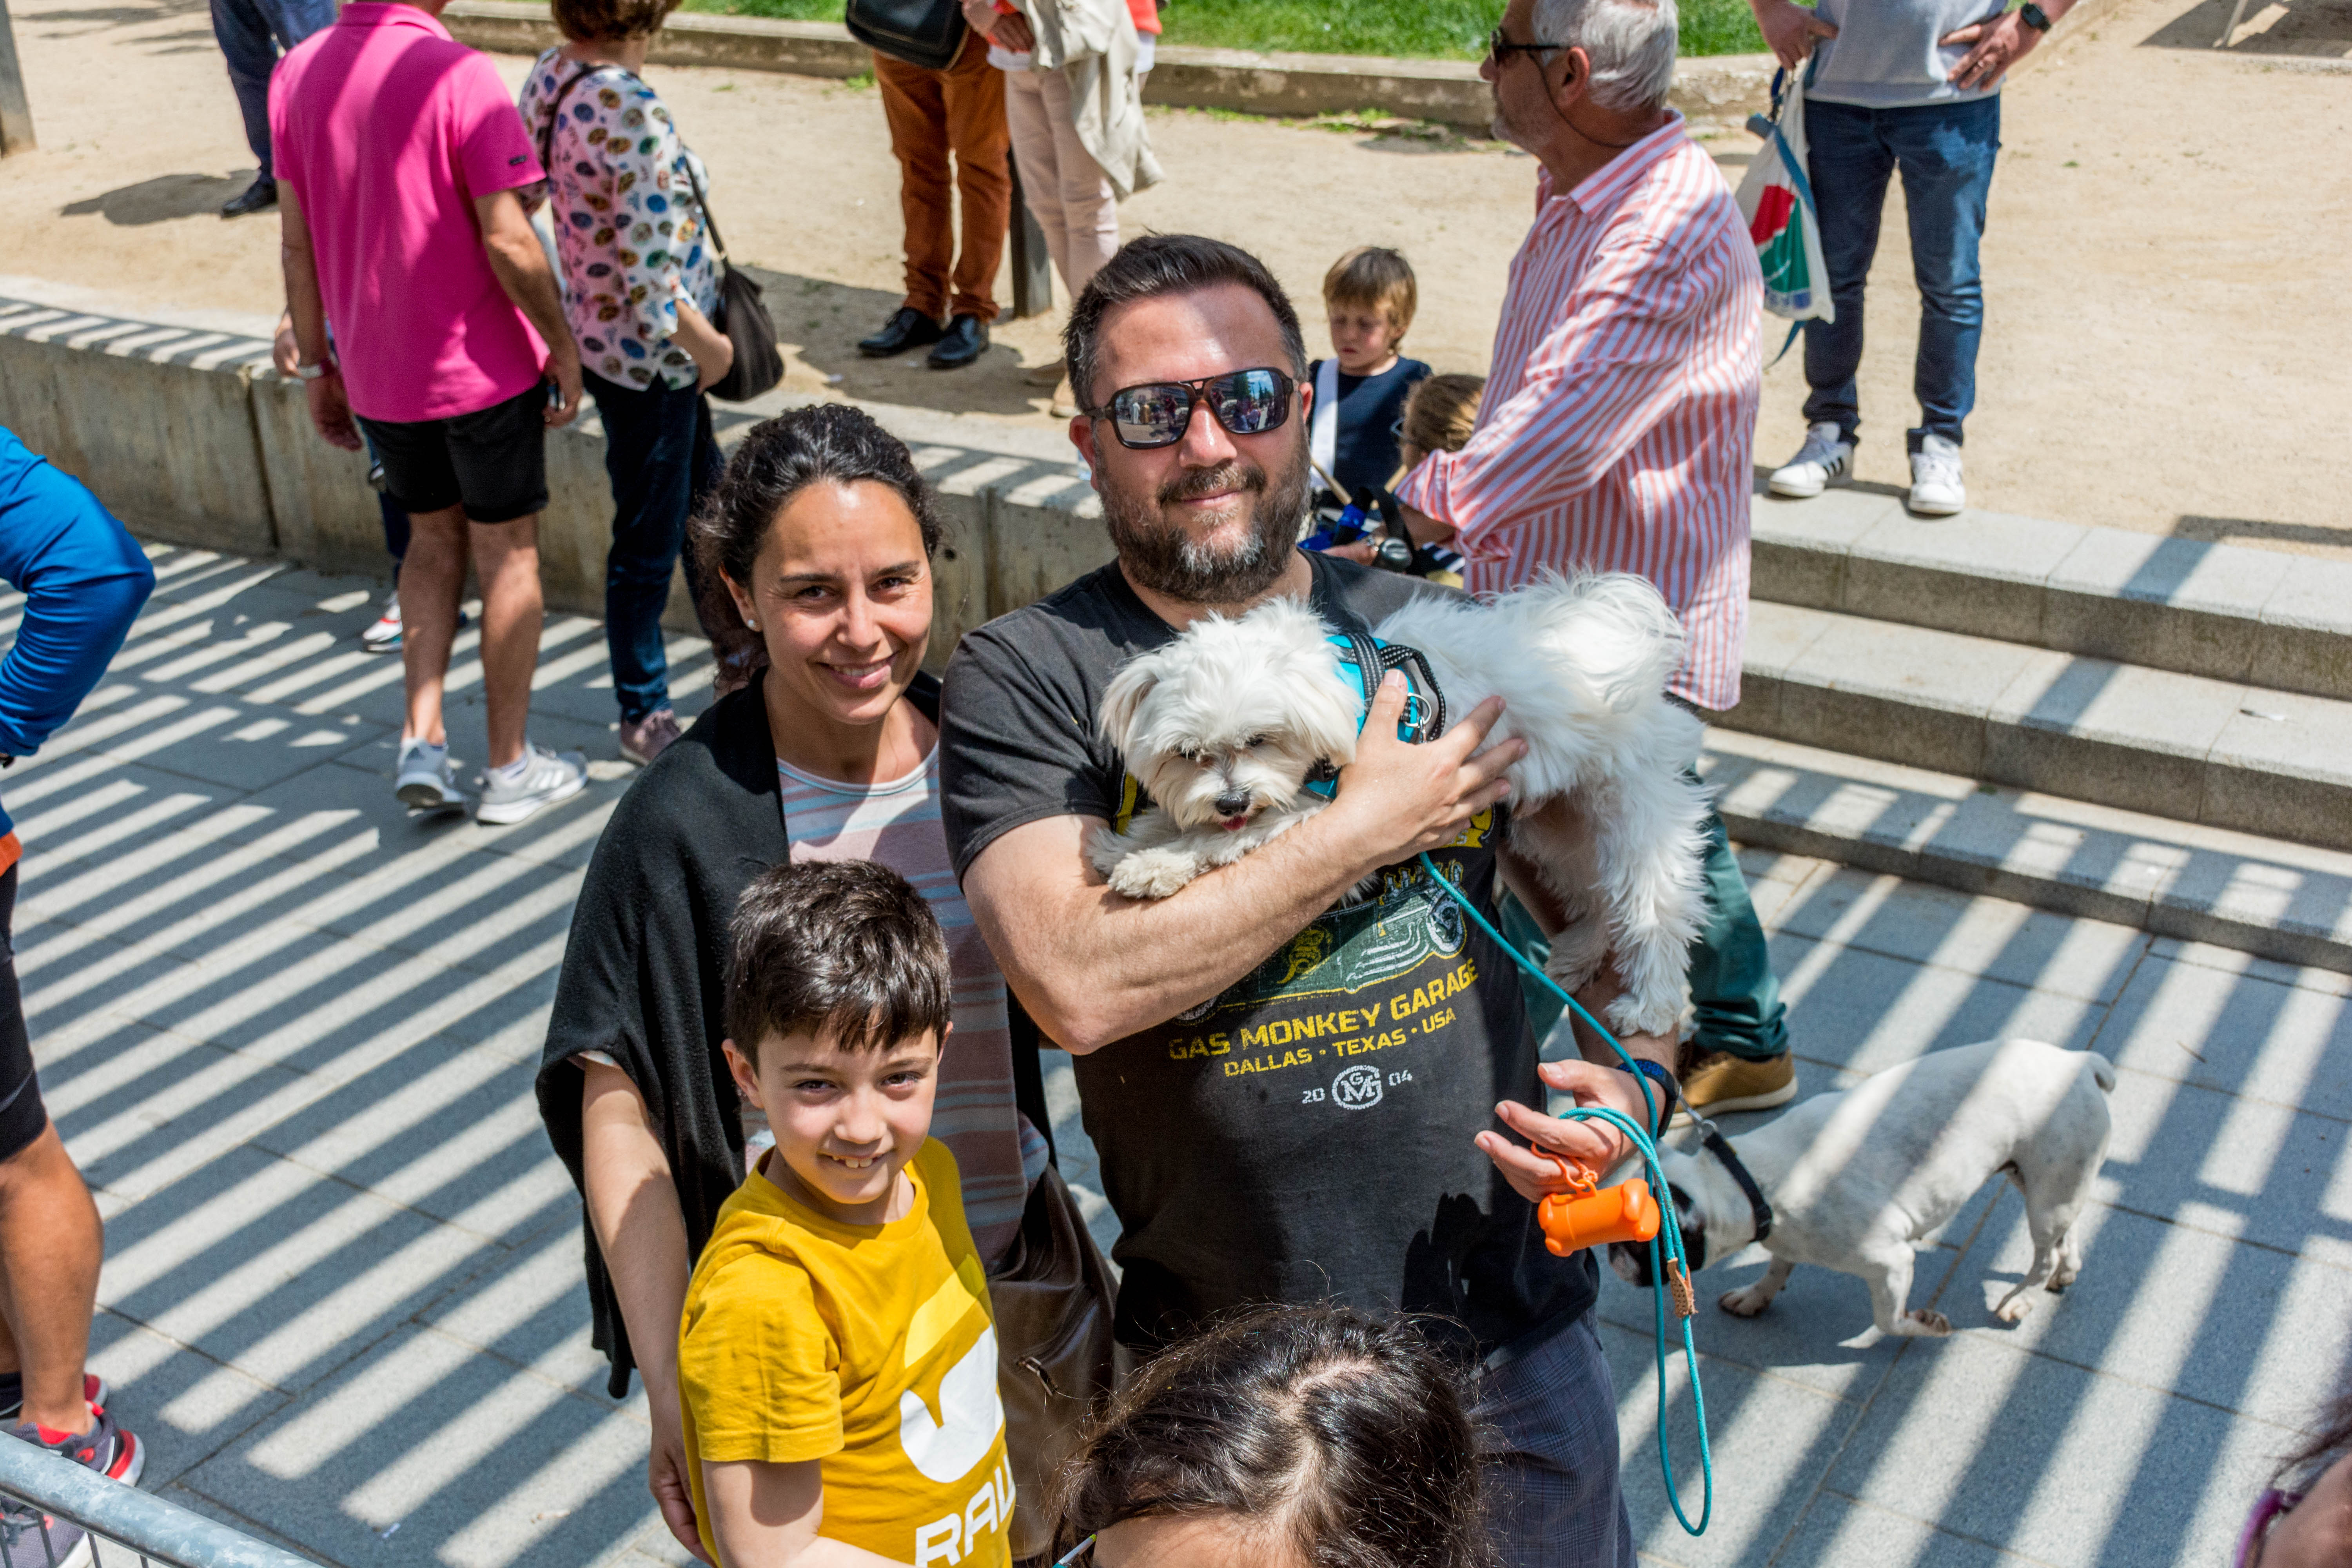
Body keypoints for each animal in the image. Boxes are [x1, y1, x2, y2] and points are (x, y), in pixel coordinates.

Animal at [1091, 576, 1722, 1044]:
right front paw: (1127, 844)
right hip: (1557, 829)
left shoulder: (1332, 813)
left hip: (1633, 815)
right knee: (1594, 897)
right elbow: (1171, 820)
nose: (1230, 800)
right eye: (1187, 754)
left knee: (1653, 909)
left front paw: (1158, 864)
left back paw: (1650, 1006)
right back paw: (1579, 952)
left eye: (1259, 740)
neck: (1330, 694)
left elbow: (1232, 836)